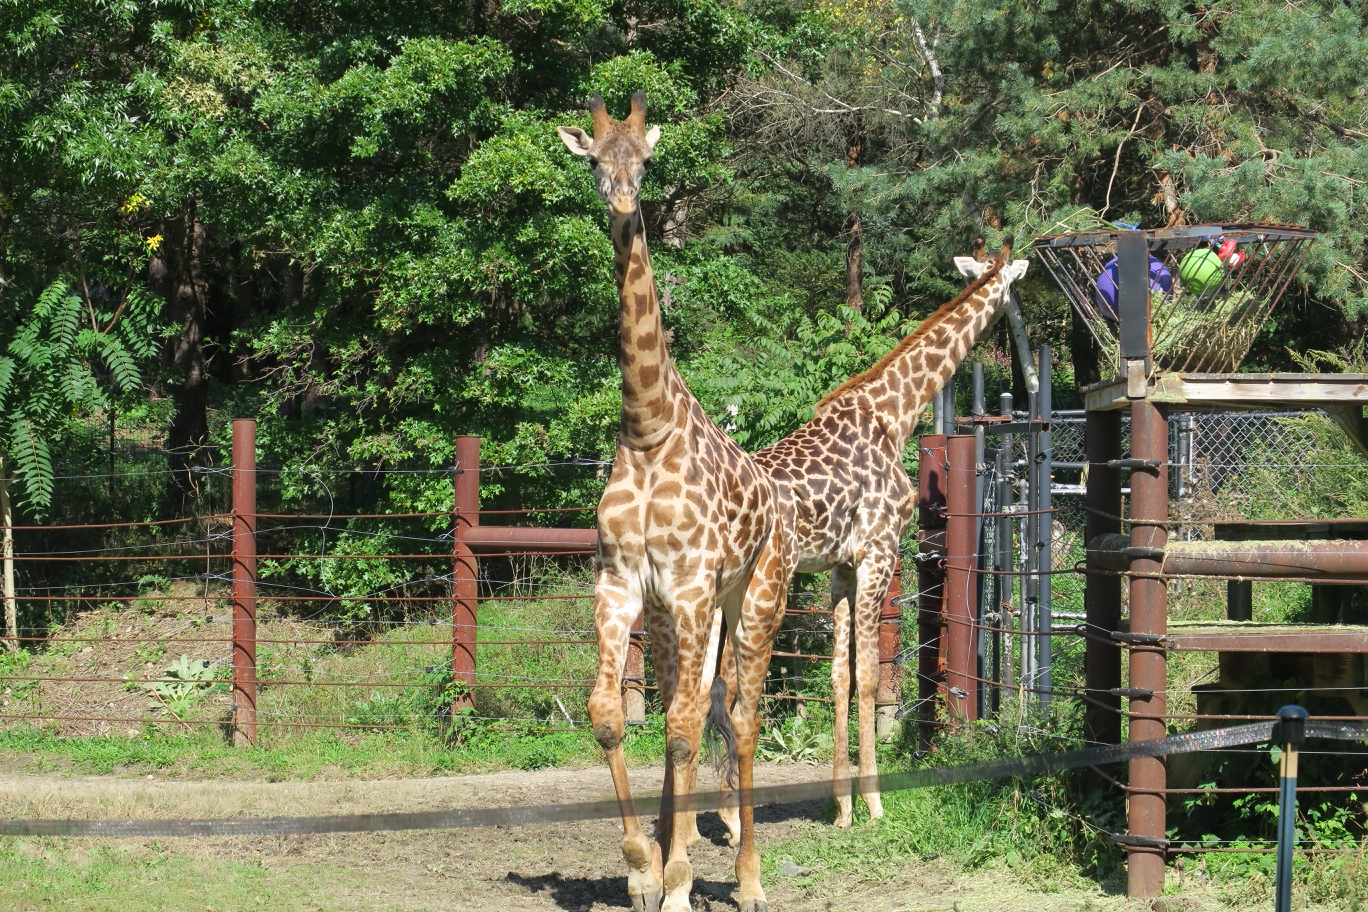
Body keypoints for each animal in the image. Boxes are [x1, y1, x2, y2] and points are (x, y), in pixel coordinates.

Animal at [555, 92, 793, 912]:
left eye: (646, 160)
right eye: (595, 160)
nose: (624, 203)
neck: (648, 424)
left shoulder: (691, 586)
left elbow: (690, 728)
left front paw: (682, 882)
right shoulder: (622, 583)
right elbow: (610, 716)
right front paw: (641, 865)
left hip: (756, 596)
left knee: (741, 717)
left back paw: (748, 882)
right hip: (676, 616)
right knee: (679, 708)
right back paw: (670, 850)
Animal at [749, 235, 1028, 825]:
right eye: (1015, 291)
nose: (1017, 335)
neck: (893, 413)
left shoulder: (840, 566)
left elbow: (839, 676)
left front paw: (841, 806)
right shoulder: (879, 550)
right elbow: (870, 676)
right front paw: (873, 804)